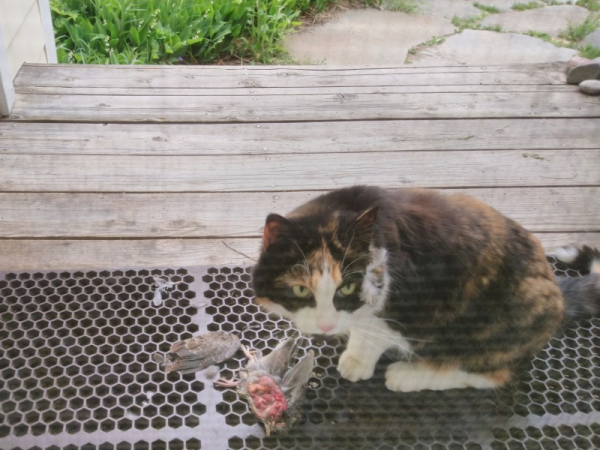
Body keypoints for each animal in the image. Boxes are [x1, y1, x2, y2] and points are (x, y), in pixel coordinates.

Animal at [251, 185, 596, 392]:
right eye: (301, 291)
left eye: (347, 288)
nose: (326, 325)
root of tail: (557, 293)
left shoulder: (403, 302)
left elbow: (373, 332)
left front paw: (357, 360)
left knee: (492, 374)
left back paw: (408, 374)